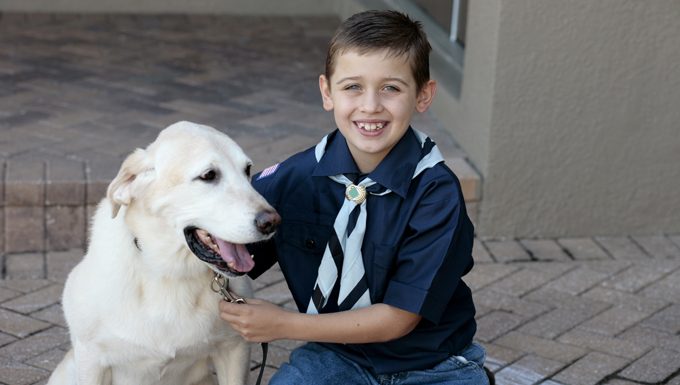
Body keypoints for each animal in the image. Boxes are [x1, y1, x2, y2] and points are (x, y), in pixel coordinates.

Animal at [48, 122, 278, 384]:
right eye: (208, 175)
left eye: (247, 170)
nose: (272, 222)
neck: (170, 273)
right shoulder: (91, 359)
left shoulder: (234, 349)